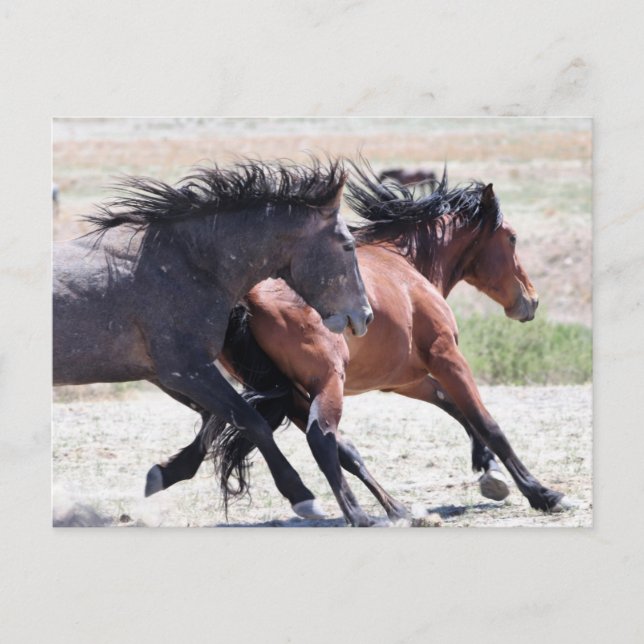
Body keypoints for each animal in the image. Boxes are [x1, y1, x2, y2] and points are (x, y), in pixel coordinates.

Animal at [53, 158, 374, 519]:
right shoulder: (187, 371)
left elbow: (214, 419)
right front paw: (302, 496)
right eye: (347, 245)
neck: (188, 266)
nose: (364, 315)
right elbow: (250, 420)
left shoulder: (168, 375)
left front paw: (164, 473)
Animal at [147, 165, 571, 526]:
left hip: (287, 389)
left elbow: (457, 410)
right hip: (325, 381)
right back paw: (358, 515)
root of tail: (247, 296)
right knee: (322, 438)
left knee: (319, 441)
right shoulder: (446, 356)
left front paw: (490, 472)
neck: (407, 265)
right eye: (512, 238)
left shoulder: (407, 380)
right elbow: (486, 422)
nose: (530, 301)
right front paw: (542, 493)